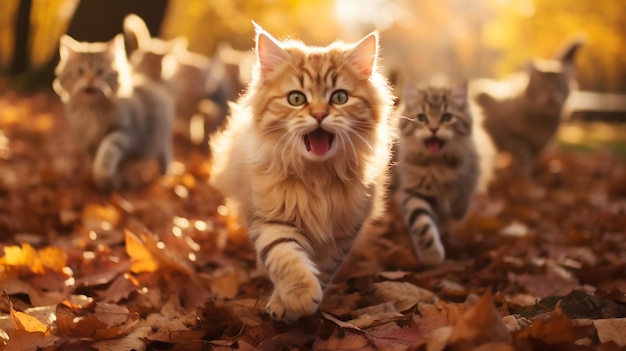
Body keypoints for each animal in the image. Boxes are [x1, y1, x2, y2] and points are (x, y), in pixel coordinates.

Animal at [53, 34, 173, 191]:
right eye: (80, 72)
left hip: (158, 135)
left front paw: (103, 176)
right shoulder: (87, 141)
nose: (90, 80)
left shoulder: (121, 131)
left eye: (100, 71)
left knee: (164, 149)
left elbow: (106, 154)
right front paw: (108, 182)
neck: (92, 111)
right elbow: (95, 160)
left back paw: (164, 172)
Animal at [394, 82, 478, 266]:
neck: (437, 165)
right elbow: (422, 223)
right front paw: (431, 256)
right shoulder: (415, 191)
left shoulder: (463, 189)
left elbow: (458, 210)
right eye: (422, 117)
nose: (433, 129)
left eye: (446, 117)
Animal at [470, 40, 584, 176]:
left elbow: (533, 159)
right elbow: (523, 157)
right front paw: (525, 175)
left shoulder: (540, 145)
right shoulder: (512, 137)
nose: (551, 98)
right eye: (542, 87)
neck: (541, 121)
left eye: (559, 87)